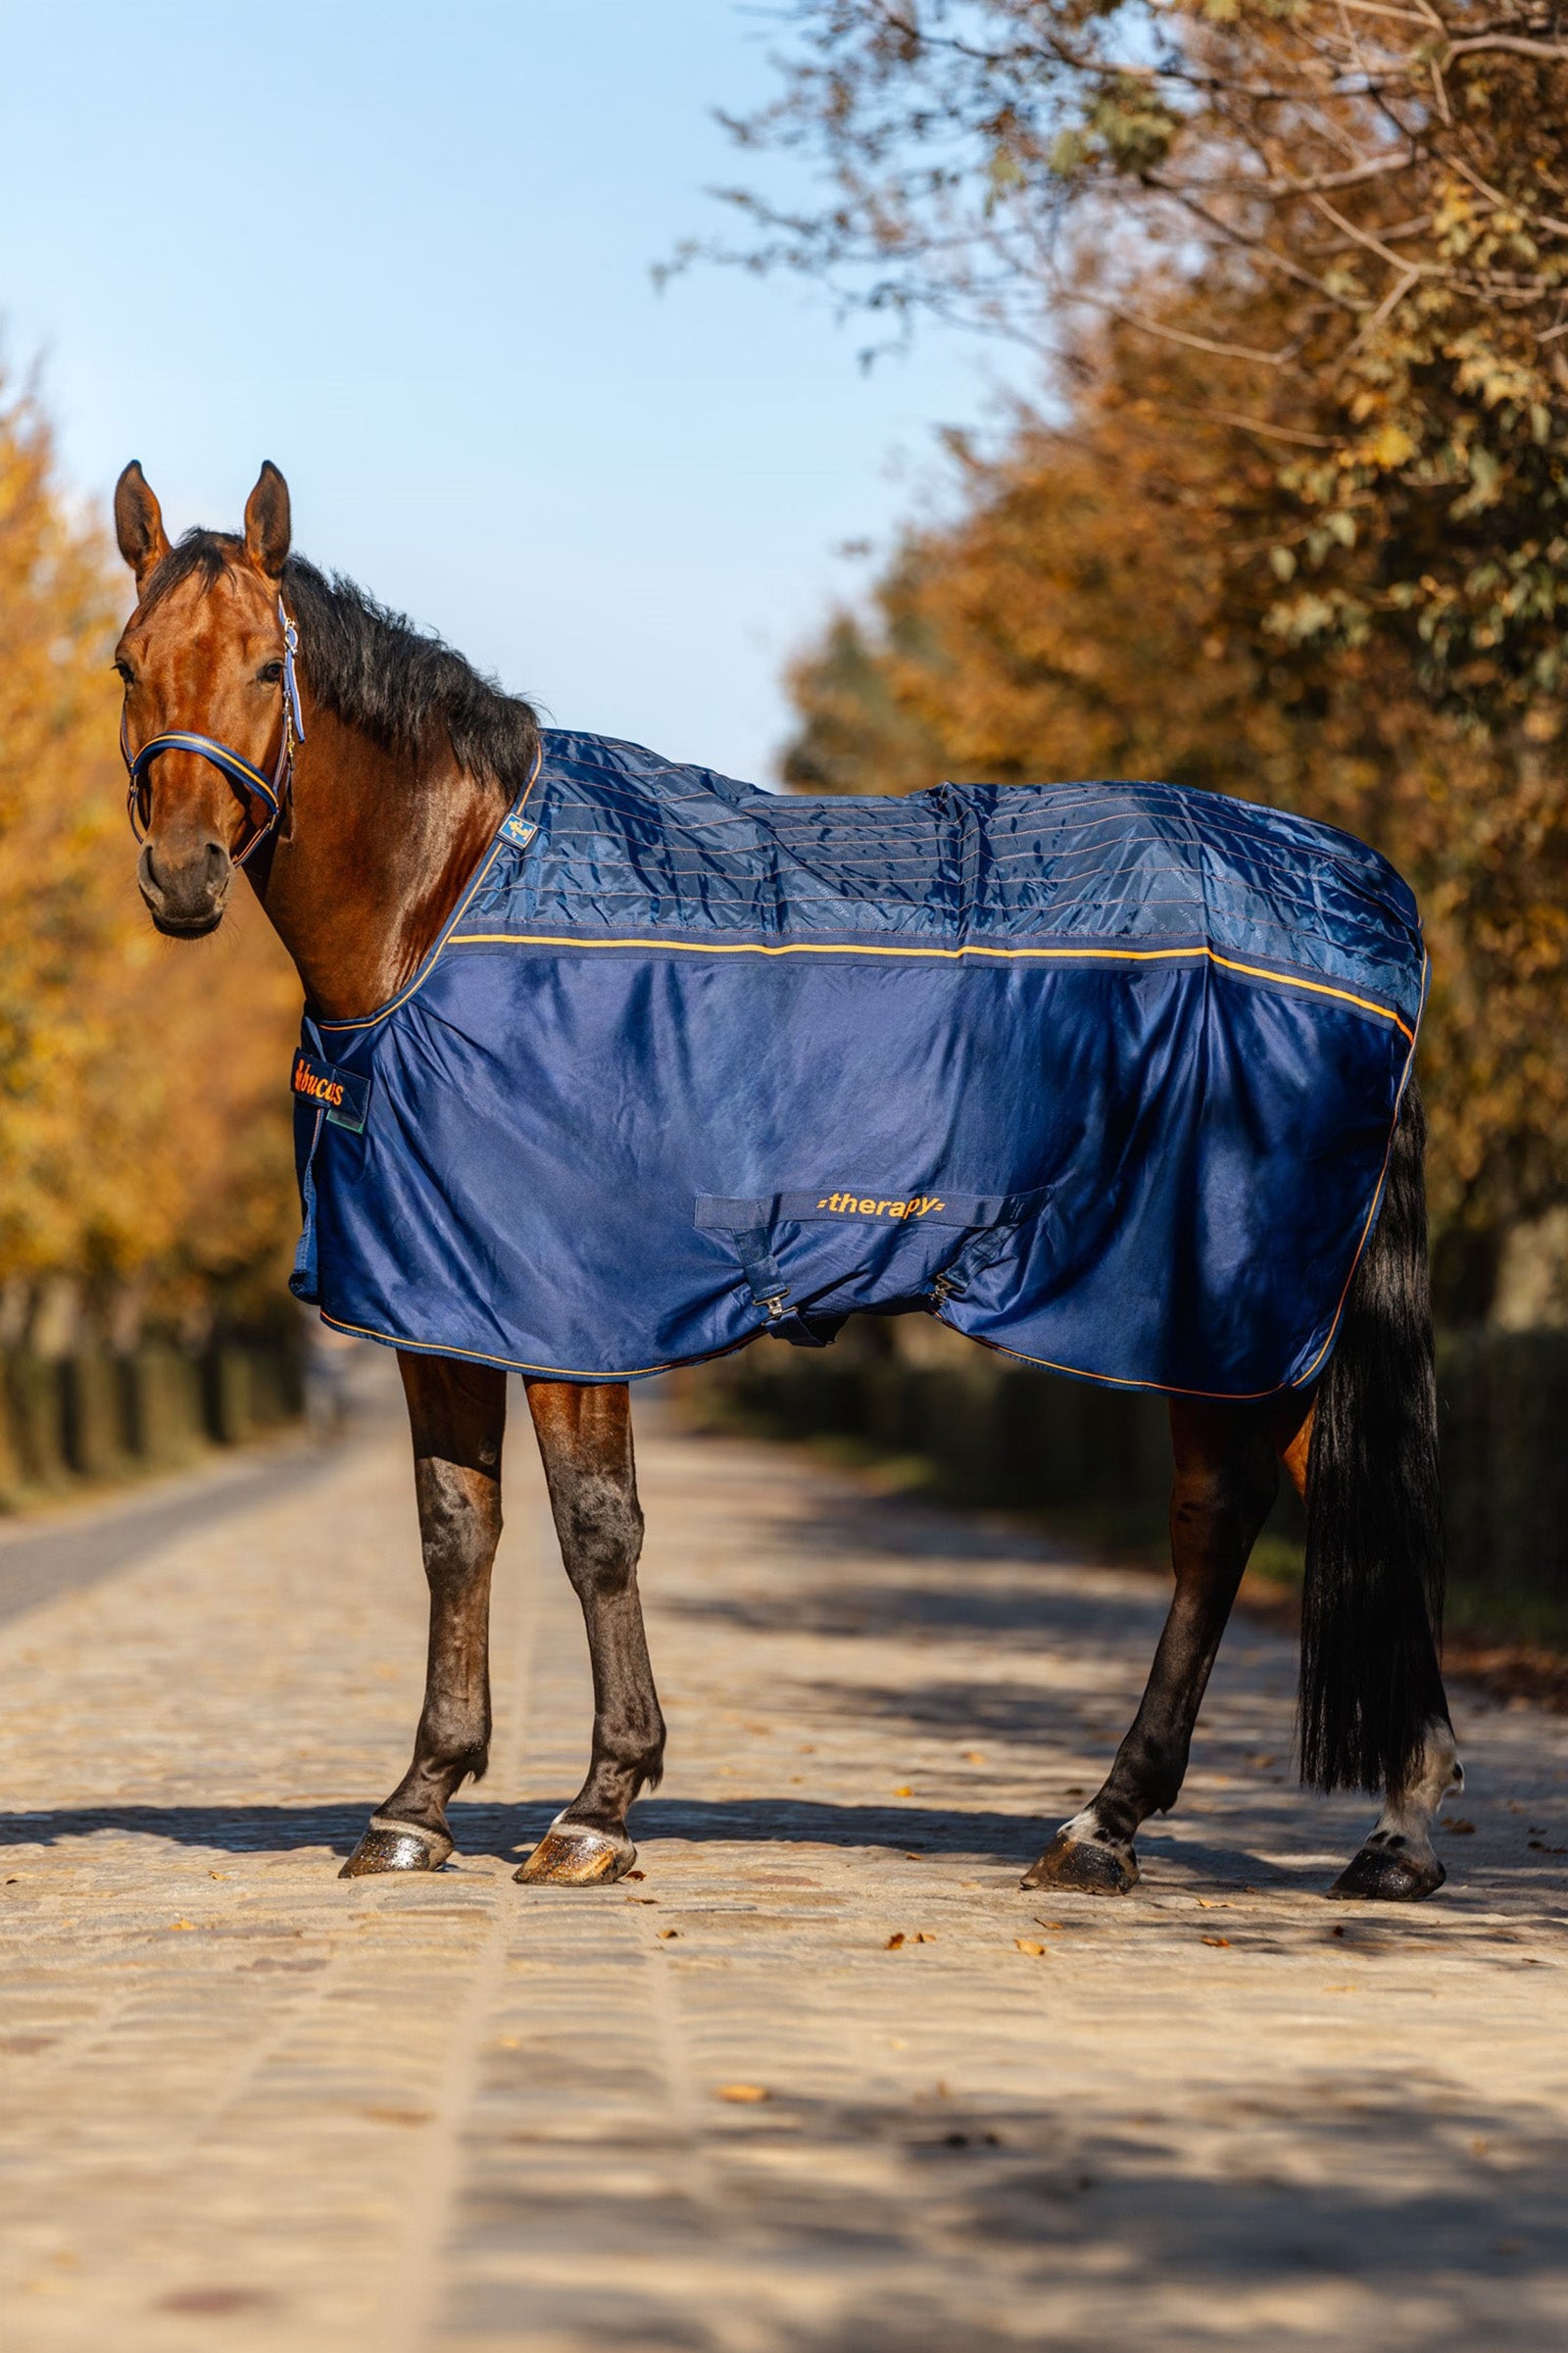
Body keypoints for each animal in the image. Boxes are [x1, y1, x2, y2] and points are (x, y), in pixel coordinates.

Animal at [110, 459, 1462, 1901]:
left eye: (267, 666)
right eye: (130, 661)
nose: (182, 876)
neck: (448, 906)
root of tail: (1367, 900)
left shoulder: (570, 1305)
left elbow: (596, 1527)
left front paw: (598, 1806)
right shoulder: (438, 1296)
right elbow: (455, 1529)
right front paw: (418, 1802)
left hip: (1225, 1311)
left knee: (1226, 1521)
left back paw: (1136, 1822)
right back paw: (1369, 1827)